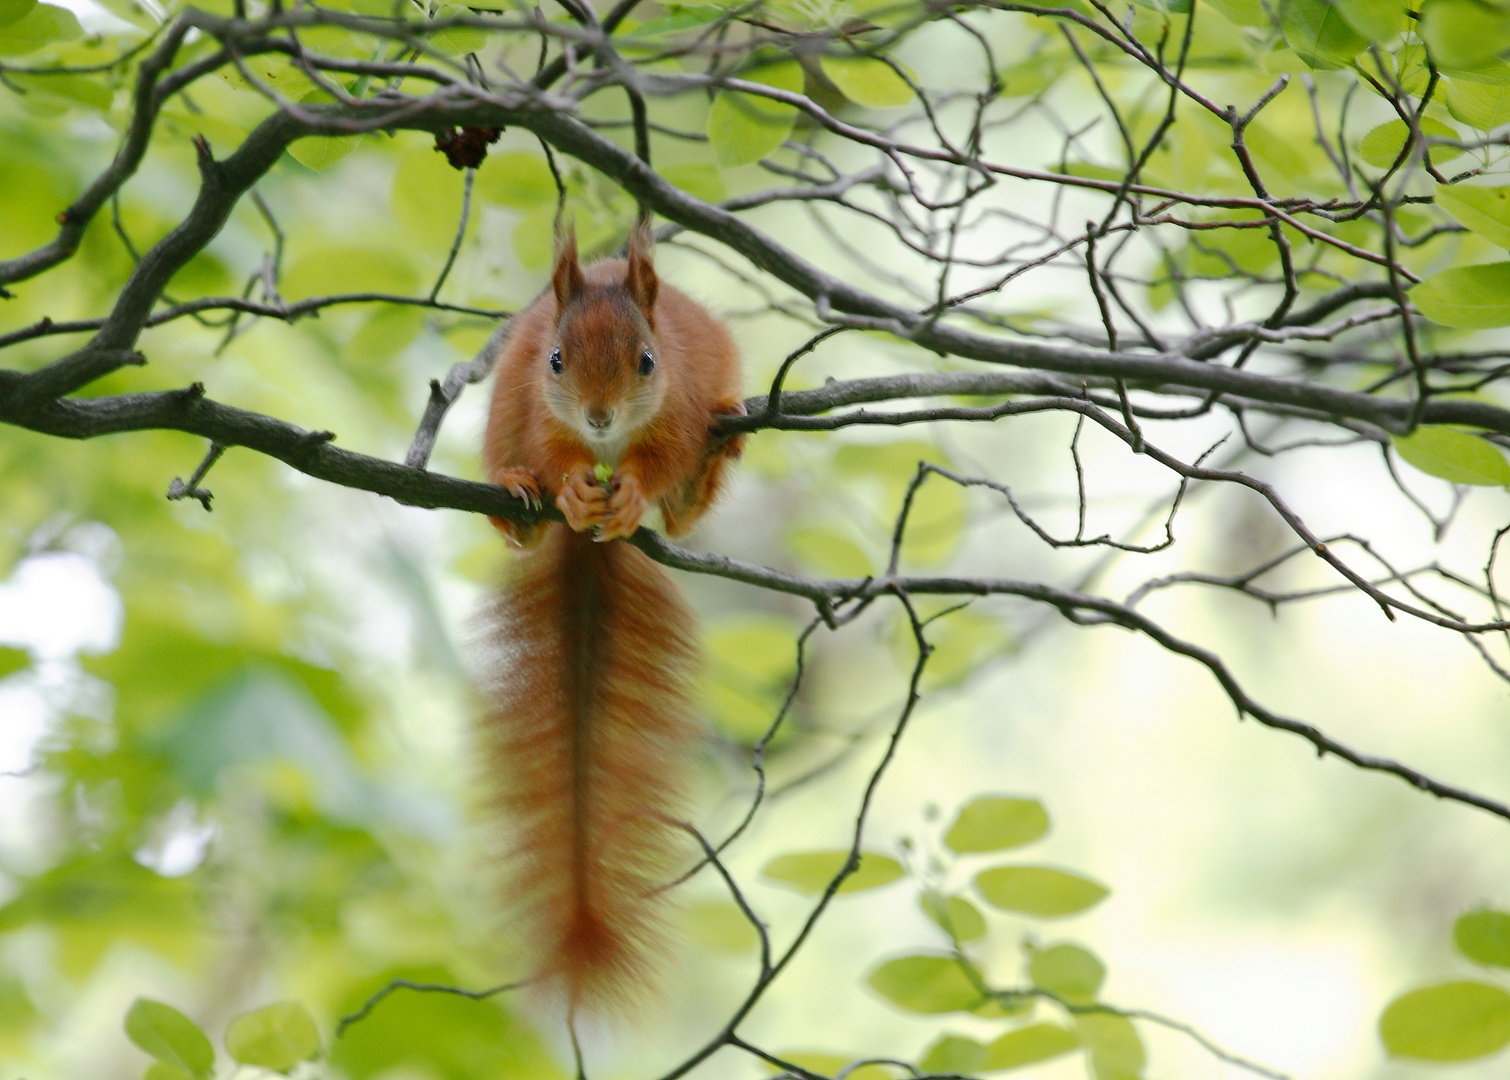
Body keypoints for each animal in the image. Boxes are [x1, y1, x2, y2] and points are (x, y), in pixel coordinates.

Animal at [477, 222, 742, 1015]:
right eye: (557, 360)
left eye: (647, 361)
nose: (598, 415)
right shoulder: (536, 404)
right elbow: (552, 448)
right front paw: (565, 485)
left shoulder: (680, 405)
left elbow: (666, 455)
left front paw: (633, 495)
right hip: (501, 414)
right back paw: (519, 500)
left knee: (684, 511)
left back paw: (718, 452)